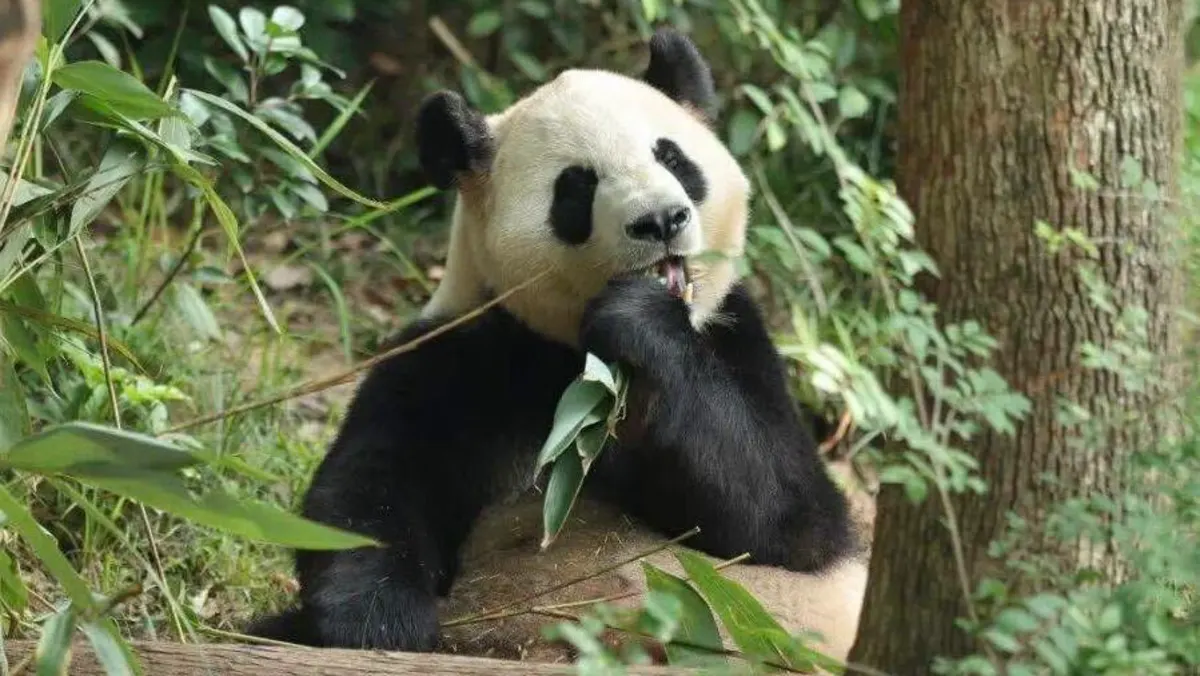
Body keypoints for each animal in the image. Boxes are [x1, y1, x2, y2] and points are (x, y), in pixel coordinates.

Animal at [248, 27, 863, 659]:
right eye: (577, 186)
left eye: (672, 158)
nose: (661, 220)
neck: (574, 354)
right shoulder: (462, 352)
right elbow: (367, 493)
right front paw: (380, 625)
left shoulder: (733, 334)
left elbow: (788, 519)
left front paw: (640, 319)